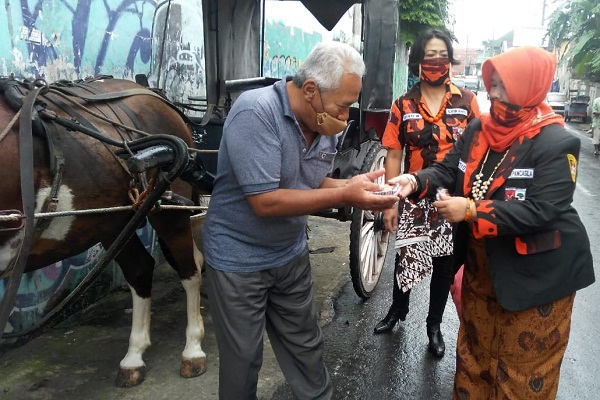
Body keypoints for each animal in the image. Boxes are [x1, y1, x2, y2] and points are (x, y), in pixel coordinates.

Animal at [0, 76, 209, 388]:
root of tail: (156, 96)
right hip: (113, 221)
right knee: (140, 269)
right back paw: (134, 356)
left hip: (168, 209)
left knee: (189, 271)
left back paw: (193, 350)